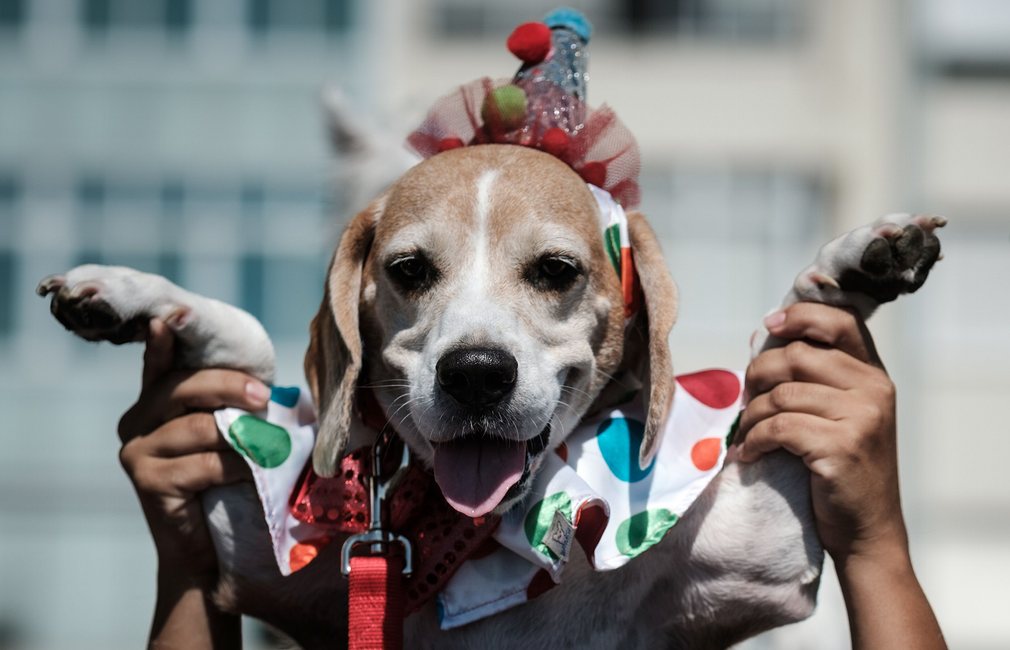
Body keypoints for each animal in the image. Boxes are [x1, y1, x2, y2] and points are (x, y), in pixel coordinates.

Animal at [35, 141, 941, 645]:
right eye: (407, 270)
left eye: (556, 271)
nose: (474, 372)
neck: (486, 530)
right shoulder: (259, 564)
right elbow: (254, 354)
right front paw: (137, 297)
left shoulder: (768, 552)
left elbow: (779, 338)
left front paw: (855, 267)